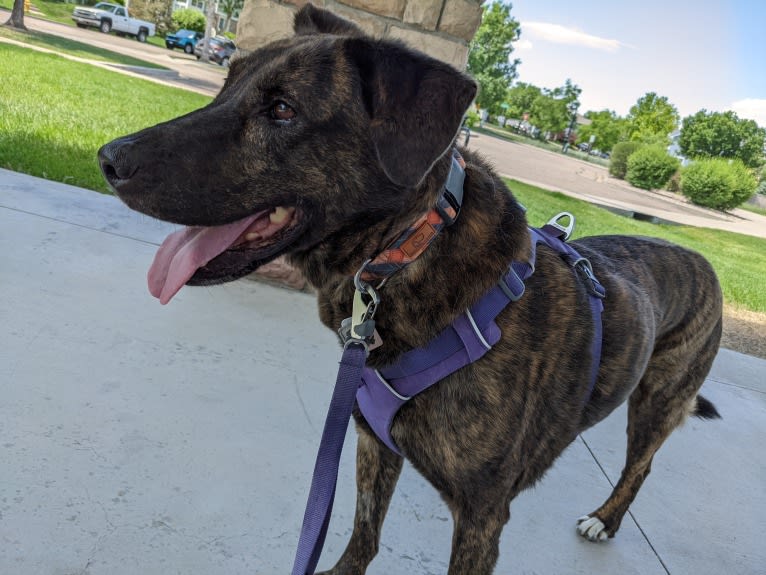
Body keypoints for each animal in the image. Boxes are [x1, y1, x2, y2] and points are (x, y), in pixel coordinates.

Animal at [99, 5, 724, 575]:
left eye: (282, 110)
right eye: (228, 84)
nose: (108, 157)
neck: (408, 253)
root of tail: (705, 263)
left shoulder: (481, 515)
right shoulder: (374, 444)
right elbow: (364, 531)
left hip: (656, 402)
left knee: (640, 466)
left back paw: (606, 518)